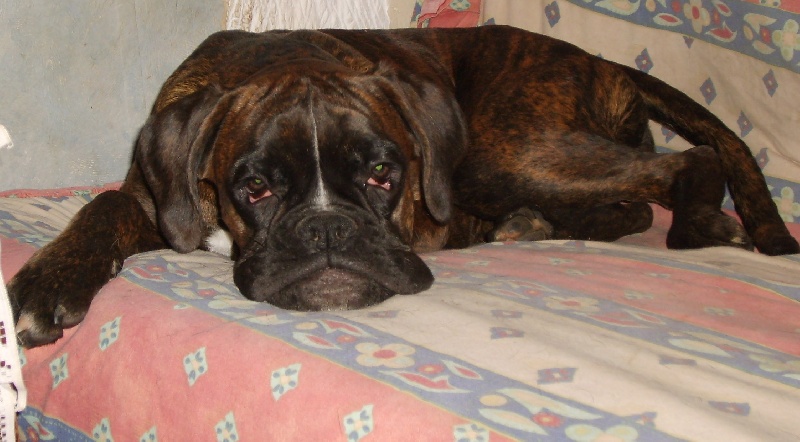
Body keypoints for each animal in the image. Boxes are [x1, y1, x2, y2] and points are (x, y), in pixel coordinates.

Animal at [10, 26, 799, 348]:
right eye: (254, 188)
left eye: (384, 174)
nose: (328, 228)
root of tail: (602, 60)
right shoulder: (156, 201)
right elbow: (101, 209)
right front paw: (49, 282)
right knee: (628, 203)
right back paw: (529, 227)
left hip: (501, 152)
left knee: (687, 165)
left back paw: (702, 225)